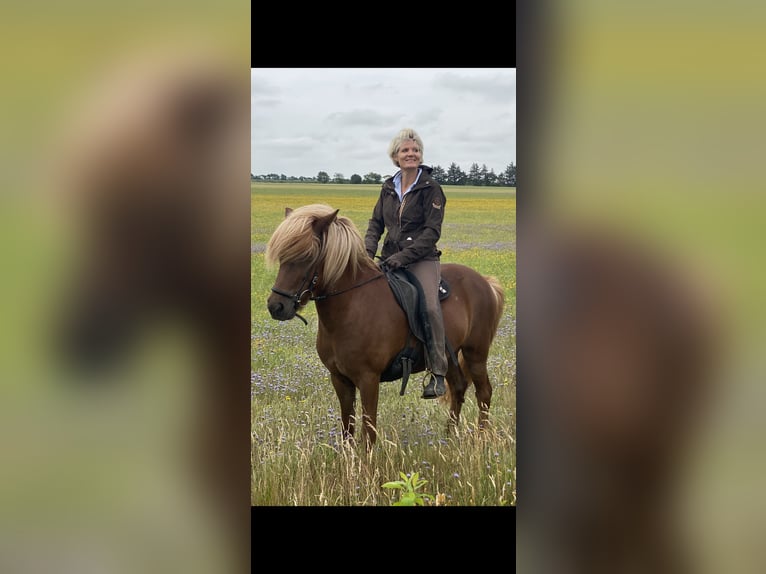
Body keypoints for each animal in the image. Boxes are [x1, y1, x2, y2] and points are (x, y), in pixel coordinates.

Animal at [265, 203, 506, 450]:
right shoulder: (340, 379)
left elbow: (368, 431)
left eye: (307, 256)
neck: (351, 306)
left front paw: (367, 460)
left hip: (476, 353)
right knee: (458, 388)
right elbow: (347, 427)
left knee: (484, 392)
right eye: (282, 256)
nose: (276, 306)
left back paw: (481, 437)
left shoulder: (368, 379)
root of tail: (484, 282)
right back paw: (448, 438)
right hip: (448, 355)